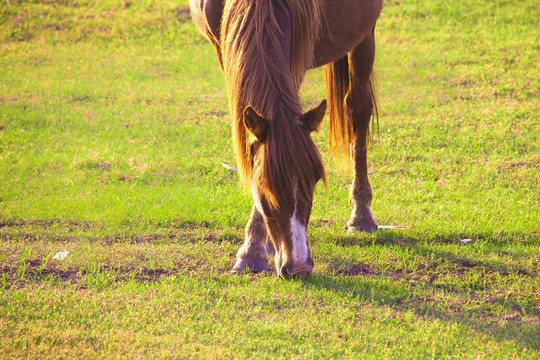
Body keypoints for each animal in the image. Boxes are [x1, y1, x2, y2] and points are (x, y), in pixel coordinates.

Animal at [192, 0, 382, 278]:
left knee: (357, 108)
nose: (300, 266)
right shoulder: (223, 49)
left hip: (364, 34)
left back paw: (362, 214)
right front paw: (256, 248)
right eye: (263, 183)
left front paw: (252, 249)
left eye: (314, 179)